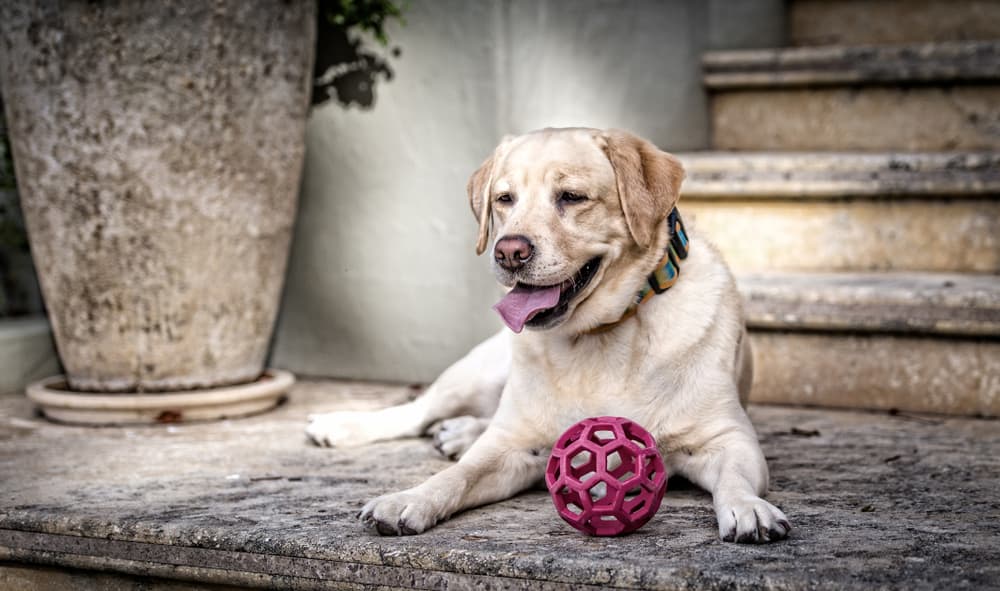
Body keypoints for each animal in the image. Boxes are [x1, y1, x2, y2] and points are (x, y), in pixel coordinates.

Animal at [308, 130, 792, 544]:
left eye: (572, 197)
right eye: (504, 199)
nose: (508, 251)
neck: (600, 336)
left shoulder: (729, 439)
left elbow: (735, 478)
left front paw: (749, 509)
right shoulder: (507, 451)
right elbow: (457, 475)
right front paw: (411, 498)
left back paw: (458, 432)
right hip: (477, 372)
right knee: (418, 410)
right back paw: (344, 425)